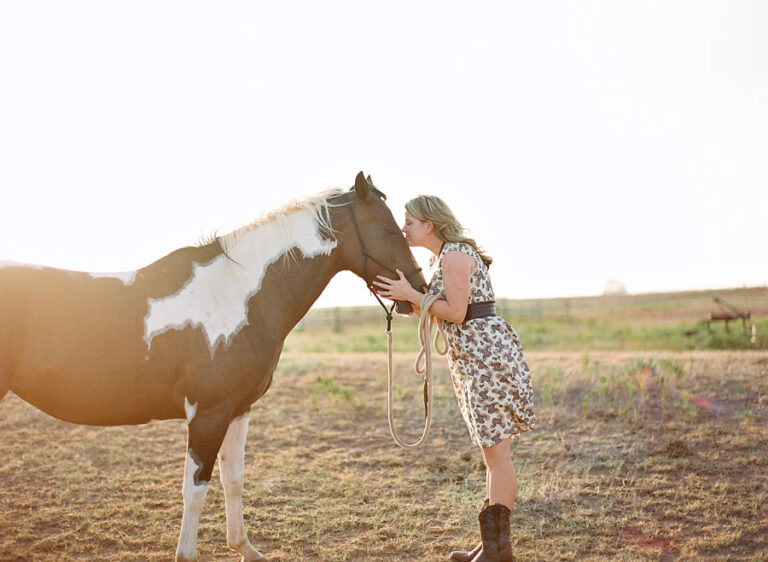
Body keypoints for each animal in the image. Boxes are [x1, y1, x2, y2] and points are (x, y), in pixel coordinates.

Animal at [0, 172, 426, 560]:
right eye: (390, 229)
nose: (418, 292)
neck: (237, 294)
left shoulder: (238, 409)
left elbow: (232, 478)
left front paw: (244, 548)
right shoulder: (208, 414)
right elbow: (195, 489)